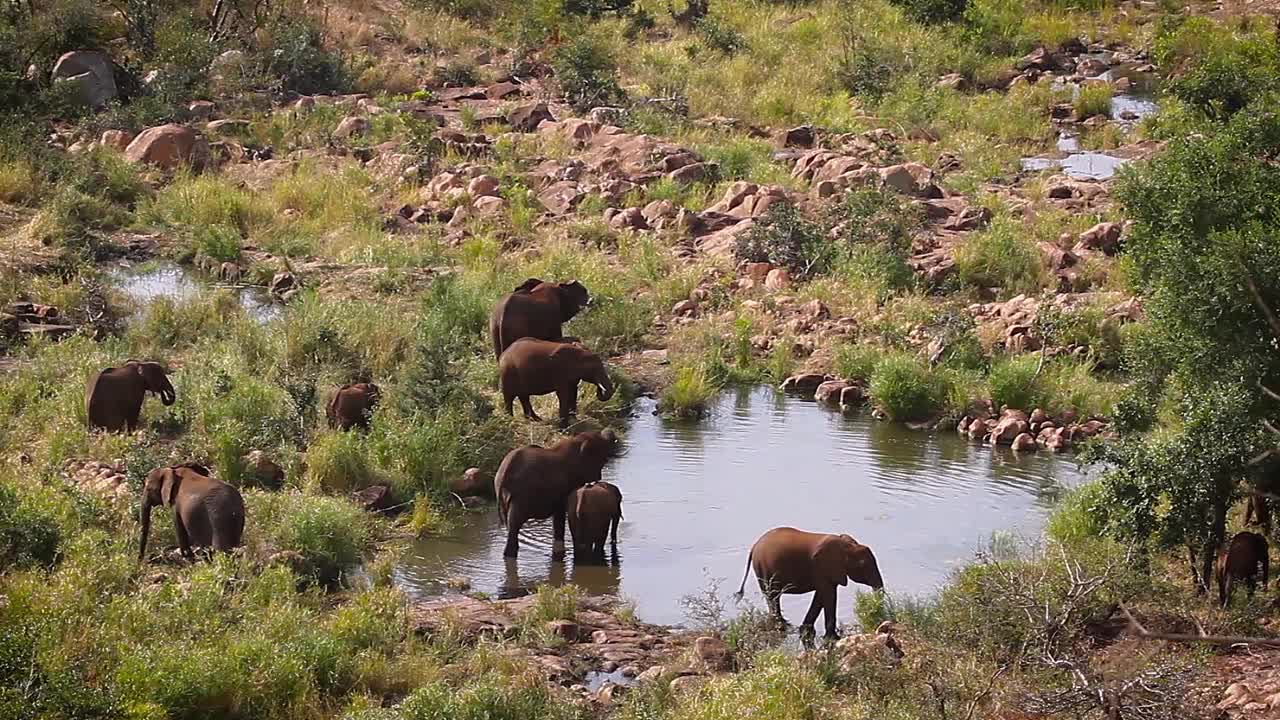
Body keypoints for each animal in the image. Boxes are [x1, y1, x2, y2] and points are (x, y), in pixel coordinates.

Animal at [494, 427, 619, 558]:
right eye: (602, 461)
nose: (599, 477)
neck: (576, 441)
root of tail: (504, 472)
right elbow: (560, 515)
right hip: (521, 494)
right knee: (514, 525)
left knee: (511, 526)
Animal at [737, 525, 885, 635]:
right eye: (862, 565)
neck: (847, 545)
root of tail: (754, 546)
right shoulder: (822, 567)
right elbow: (829, 595)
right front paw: (832, 637)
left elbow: (821, 595)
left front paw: (806, 630)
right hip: (763, 568)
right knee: (773, 596)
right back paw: (783, 626)